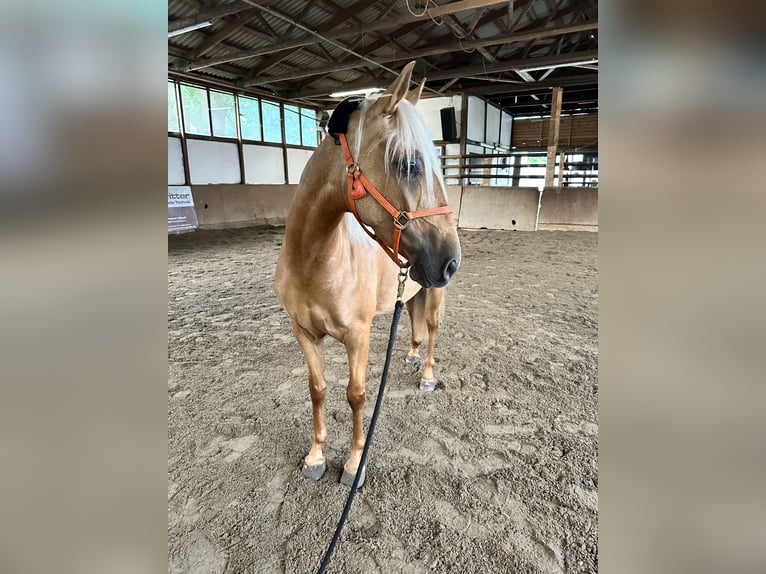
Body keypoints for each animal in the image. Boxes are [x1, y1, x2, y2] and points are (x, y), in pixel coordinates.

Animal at [272, 60, 460, 488]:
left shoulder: (357, 336)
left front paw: (354, 464)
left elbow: (356, 395)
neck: (314, 260)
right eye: (410, 164)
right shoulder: (303, 333)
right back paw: (410, 355)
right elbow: (318, 389)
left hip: (435, 293)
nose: (450, 261)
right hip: (414, 286)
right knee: (413, 323)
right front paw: (315, 457)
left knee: (433, 329)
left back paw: (427, 375)